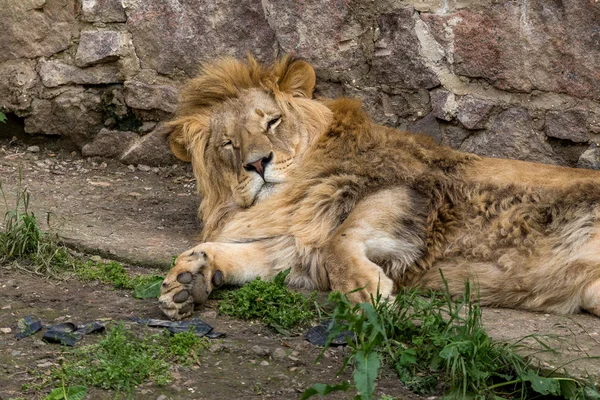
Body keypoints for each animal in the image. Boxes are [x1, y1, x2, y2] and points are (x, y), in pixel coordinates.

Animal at [156, 54, 600, 320]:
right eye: (228, 143)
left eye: (272, 122)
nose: (257, 163)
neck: (287, 198)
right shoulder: (296, 246)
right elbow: (240, 254)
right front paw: (188, 277)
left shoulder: (411, 188)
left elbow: (341, 240)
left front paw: (366, 293)